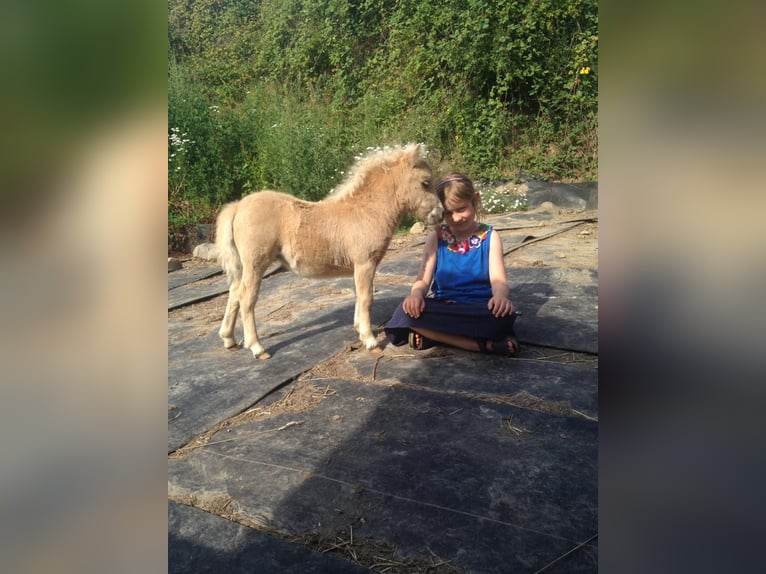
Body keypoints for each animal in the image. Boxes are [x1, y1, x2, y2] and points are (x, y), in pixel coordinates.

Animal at [215, 143, 442, 359]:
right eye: (425, 182)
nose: (439, 213)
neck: (366, 210)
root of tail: (238, 206)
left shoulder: (358, 267)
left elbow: (359, 295)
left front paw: (360, 330)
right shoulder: (365, 264)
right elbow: (366, 298)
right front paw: (370, 341)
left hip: (244, 267)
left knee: (234, 292)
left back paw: (228, 339)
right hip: (256, 264)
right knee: (247, 298)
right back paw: (257, 348)